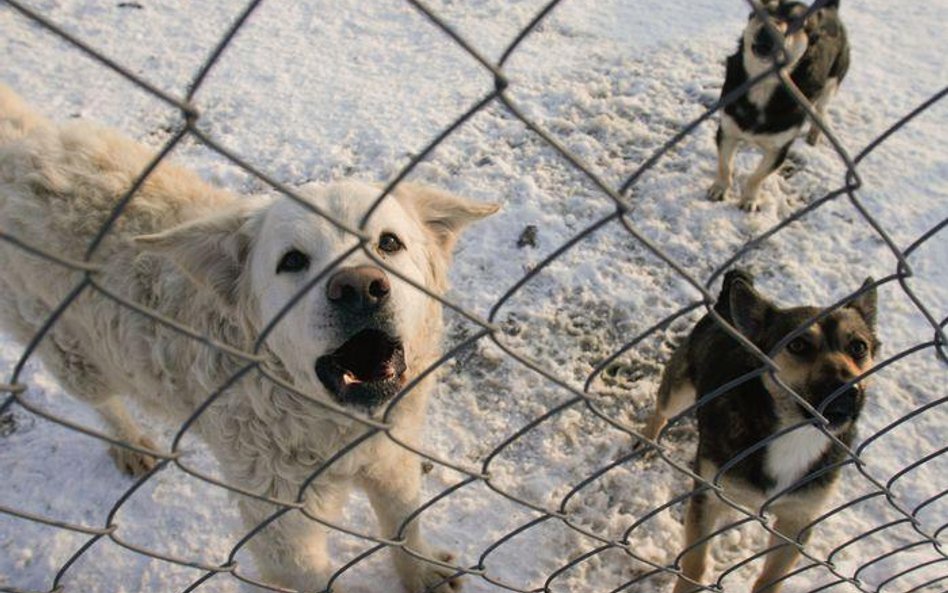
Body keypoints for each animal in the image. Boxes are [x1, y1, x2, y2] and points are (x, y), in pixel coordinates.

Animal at [0, 85, 496, 588]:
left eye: (389, 243)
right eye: (292, 261)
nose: (359, 288)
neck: (333, 425)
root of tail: (24, 143)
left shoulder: (392, 459)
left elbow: (404, 525)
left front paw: (423, 571)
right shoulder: (282, 531)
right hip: (68, 349)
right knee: (102, 402)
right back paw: (129, 443)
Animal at [644, 272, 880, 592]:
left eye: (858, 347)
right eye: (798, 345)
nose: (847, 390)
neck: (794, 433)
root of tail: (726, 300)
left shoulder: (798, 518)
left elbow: (770, 578)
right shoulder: (708, 496)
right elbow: (695, 564)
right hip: (678, 391)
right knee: (661, 408)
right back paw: (646, 441)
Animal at [708, 0, 848, 210]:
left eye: (798, 22)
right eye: (765, 10)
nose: (768, 30)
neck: (763, 85)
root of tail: (831, 10)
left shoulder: (779, 149)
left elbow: (757, 176)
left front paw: (750, 199)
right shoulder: (727, 130)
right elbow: (725, 165)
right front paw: (720, 188)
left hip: (832, 83)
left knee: (821, 110)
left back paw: (814, 134)